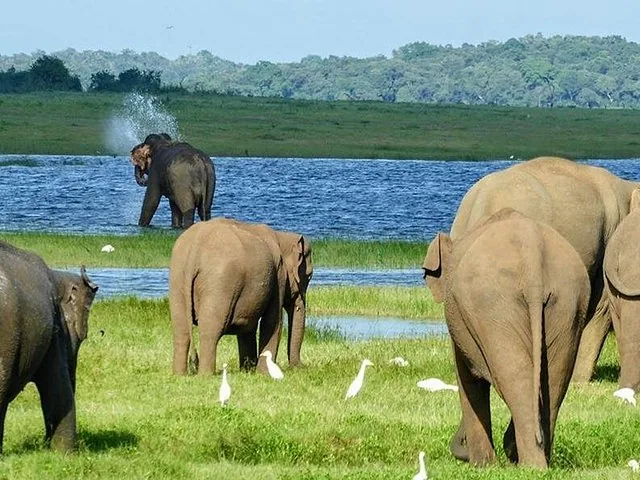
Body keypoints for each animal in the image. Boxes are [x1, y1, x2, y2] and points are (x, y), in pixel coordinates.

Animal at [0, 241, 98, 454]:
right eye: (82, 337)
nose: (44, 441)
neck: (57, 274)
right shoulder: (56, 328)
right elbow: (58, 390)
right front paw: (65, 455)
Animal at [169, 218, 313, 375]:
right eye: (309, 276)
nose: (301, 367)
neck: (281, 236)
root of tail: (195, 247)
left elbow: (248, 326)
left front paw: (248, 370)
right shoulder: (278, 276)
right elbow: (273, 322)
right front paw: (264, 374)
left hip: (177, 278)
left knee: (181, 330)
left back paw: (179, 375)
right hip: (220, 284)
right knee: (210, 330)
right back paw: (205, 375)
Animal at [424, 208, 591, 468]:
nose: (461, 446)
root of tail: (532, 256)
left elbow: (467, 380)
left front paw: (482, 466)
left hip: (493, 307)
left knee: (513, 377)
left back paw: (530, 465)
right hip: (568, 303)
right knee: (554, 381)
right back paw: (536, 458)